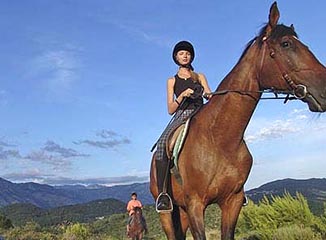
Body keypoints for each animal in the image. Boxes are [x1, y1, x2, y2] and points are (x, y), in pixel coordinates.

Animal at [152, 2, 326, 240]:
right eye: (286, 44)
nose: (325, 90)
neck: (220, 138)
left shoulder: (232, 202)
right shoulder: (195, 204)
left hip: (183, 212)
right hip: (168, 214)